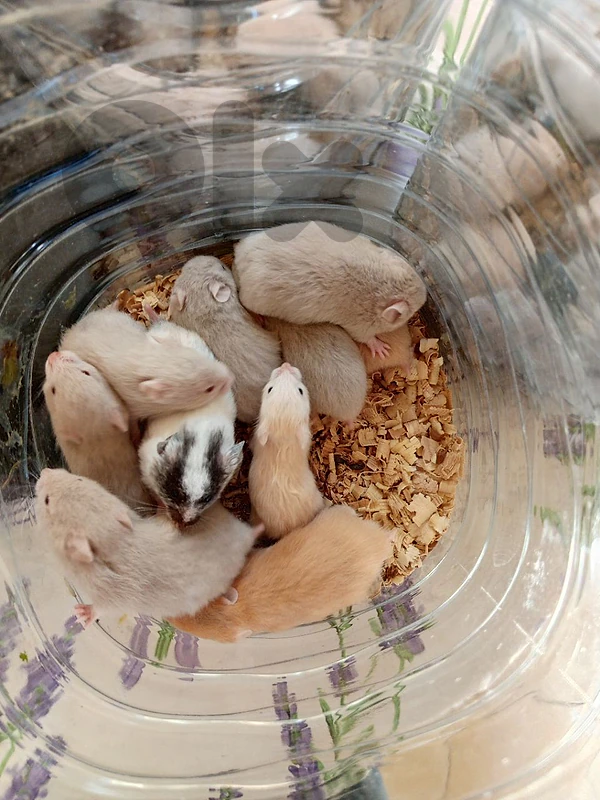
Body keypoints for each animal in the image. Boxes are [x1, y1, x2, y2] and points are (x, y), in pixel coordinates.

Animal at [35, 469, 261, 621]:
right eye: (80, 478)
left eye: (47, 500)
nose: (44, 470)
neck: (115, 539)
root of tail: (245, 536)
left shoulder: (111, 597)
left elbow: (101, 608)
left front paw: (81, 614)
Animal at [233, 221, 427, 358]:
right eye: (410, 311)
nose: (426, 294)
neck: (380, 284)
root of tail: (238, 257)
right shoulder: (359, 326)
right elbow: (368, 338)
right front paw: (383, 349)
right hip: (252, 298)